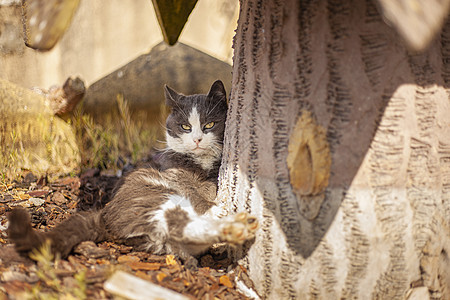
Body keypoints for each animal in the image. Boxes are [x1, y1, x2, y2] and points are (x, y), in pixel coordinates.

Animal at [7, 79, 258, 268]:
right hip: (156, 196)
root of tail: (104, 217)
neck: (201, 163)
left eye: (209, 125)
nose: (197, 139)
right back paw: (231, 224)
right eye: (185, 127)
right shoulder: (174, 175)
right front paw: (212, 200)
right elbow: (194, 191)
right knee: (179, 223)